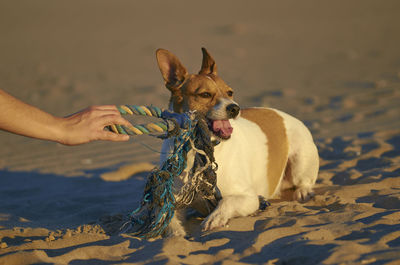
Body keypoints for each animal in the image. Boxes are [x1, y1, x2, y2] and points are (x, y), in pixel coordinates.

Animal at [156, 47, 318, 235]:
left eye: (230, 92)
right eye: (205, 95)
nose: (235, 108)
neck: (198, 151)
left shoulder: (249, 197)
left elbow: (227, 201)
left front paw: (215, 218)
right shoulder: (171, 202)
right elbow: (171, 225)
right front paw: (178, 235)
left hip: (300, 161)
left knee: (304, 181)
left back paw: (303, 192)